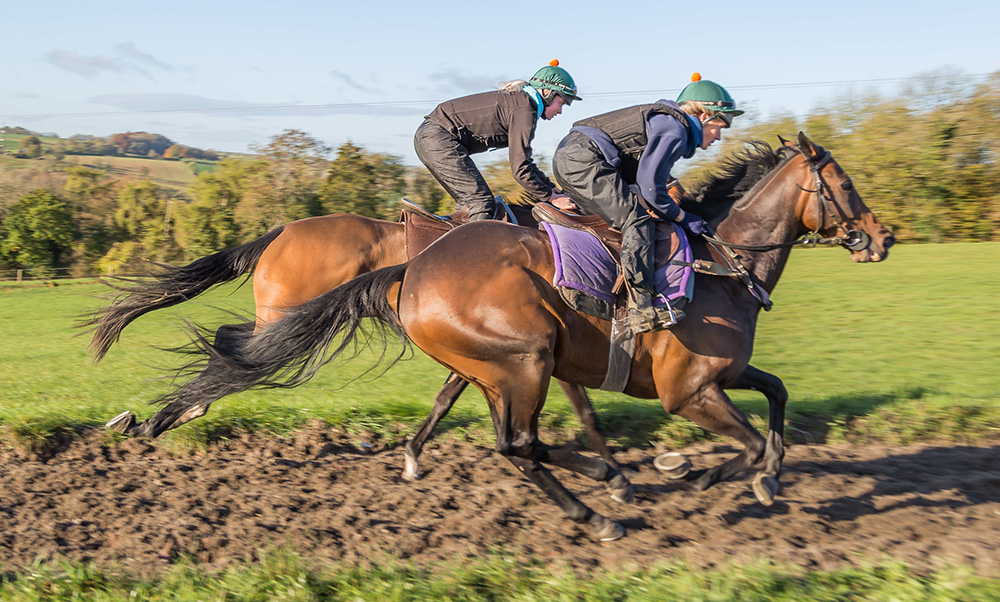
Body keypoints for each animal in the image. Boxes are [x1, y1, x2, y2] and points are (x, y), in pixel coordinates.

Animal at [86, 204, 624, 480]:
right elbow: (584, 409)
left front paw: (412, 456)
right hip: (283, 314)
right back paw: (166, 417)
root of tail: (282, 231)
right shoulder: (546, 341)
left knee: (230, 349)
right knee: (235, 353)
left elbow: (446, 398)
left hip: (281, 316)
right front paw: (613, 472)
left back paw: (165, 416)